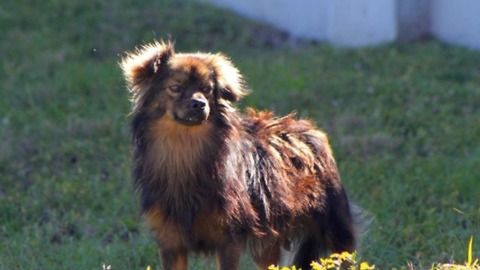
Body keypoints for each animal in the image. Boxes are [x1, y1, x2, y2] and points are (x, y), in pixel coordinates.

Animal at [121, 40, 356, 270]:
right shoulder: (170, 242)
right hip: (268, 242)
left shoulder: (228, 239)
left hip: (335, 230)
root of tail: (311, 129)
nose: (200, 104)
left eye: (207, 90)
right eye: (175, 88)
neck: (184, 148)